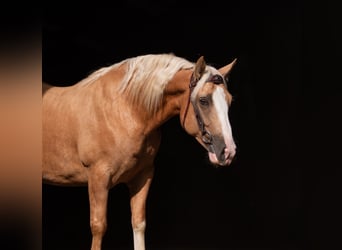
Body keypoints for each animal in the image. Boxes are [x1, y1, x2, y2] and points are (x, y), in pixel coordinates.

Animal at [42, 53, 236, 250]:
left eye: (229, 101)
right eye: (204, 101)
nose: (228, 151)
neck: (125, 110)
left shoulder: (142, 176)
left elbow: (138, 224)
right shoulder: (98, 177)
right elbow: (98, 227)